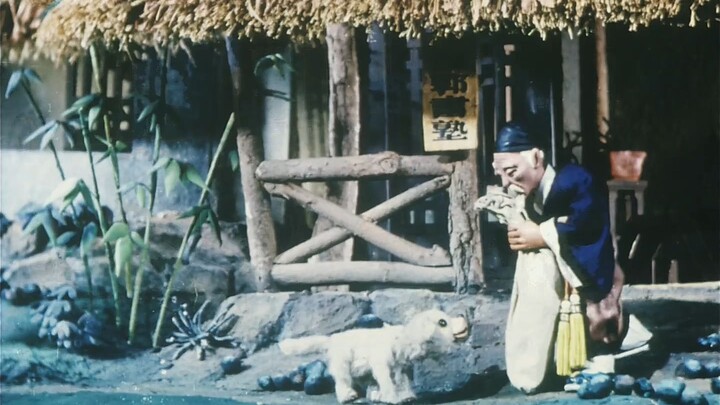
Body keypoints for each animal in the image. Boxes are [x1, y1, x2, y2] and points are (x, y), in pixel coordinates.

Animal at [278, 310, 470, 400]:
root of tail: (331, 339)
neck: (403, 340)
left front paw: (407, 396)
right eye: (442, 322)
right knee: (342, 380)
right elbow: (387, 381)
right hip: (342, 362)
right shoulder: (381, 363)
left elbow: (403, 381)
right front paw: (393, 398)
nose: (462, 316)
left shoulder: (402, 367)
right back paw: (348, 396)